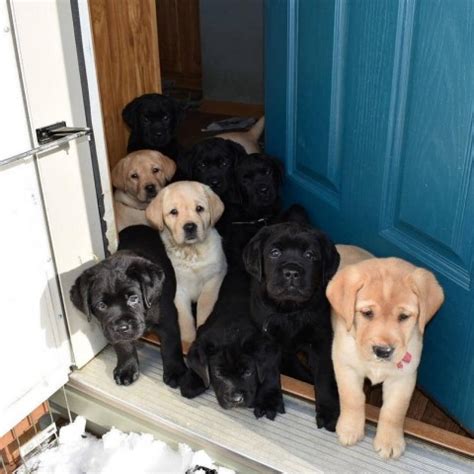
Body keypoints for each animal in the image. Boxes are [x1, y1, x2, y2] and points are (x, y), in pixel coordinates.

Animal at [69, 227, 186, 388]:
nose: (122, 328)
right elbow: (124, 347)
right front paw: (127, 369)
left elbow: (171, 345)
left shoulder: (168, 320)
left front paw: (176, 372)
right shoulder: (113, 331)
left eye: (133, 298)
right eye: (101, 305)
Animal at [145, 180, 227, 342]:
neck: (192, 252)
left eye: (199, 208)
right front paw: (188, 340)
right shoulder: (178, 288)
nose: (190, 226)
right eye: (173, 212)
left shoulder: (214, 277)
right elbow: (184, 317)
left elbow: (205, 304)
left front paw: (202, 327)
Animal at [181, 268, 286, 420]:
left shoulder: (271, 344)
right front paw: (193, 379)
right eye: (218, 374)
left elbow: (270, 371)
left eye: (248, 372)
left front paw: (268, 401)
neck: (233, 327)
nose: (235, 399)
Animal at [244, 220, 340, 432]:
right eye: (275, 252)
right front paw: (269, 400)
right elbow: (269, 367)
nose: (292, 272)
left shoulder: (321, 340)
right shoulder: (266, 337)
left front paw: (329, 410)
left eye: (310, 255)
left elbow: (324, 375)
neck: (289, 310)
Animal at [328, 248, 442, 460]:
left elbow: (394, 410)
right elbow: (353, 397)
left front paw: (390, 441)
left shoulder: (403, 377)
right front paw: (350, 429)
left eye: (404, 316)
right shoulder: (345, 365)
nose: (383, 351)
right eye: (367, 313)